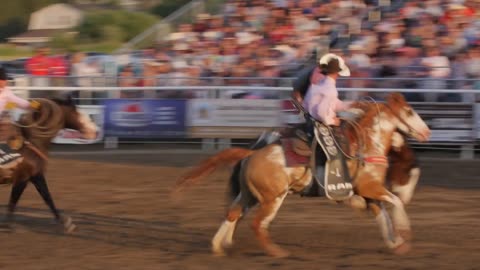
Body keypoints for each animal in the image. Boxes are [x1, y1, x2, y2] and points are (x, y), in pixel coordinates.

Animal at [0, 96, 96, 232]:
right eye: (76, 112)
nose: (93, 131)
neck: (32, 143)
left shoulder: (36, 176)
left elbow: (47, 197)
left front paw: (65, 222)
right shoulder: (22, 178)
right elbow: (13, 200)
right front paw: (8, 224)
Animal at [173, 93, 432, 258]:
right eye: (409, 111)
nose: (427, 132)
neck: (367, 144)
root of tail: (252, 153)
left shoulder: (369, 194)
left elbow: (383, 217)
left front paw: (395, 243)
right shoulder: (370, 188)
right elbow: (394, 203)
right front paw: (404, 233)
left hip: (249, 195)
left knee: (233, 213)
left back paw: (219, 246)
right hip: (273, 198)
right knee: (258, 224)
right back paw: (277, 252)